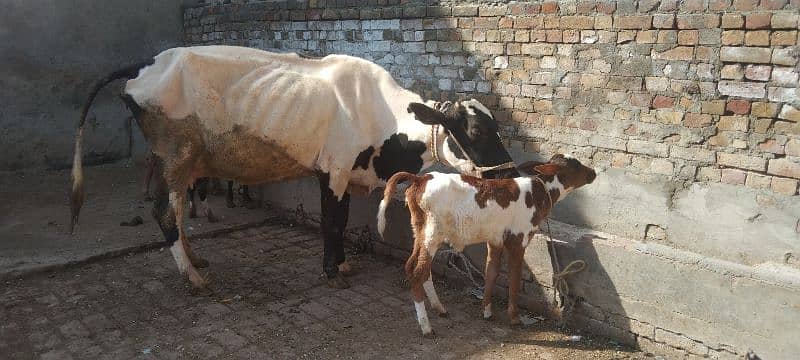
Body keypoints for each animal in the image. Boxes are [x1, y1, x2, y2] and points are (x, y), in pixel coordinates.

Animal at [69, 46, 520, 290]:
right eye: (477, 130)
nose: (505, 174)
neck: (382, 116)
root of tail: (148, 62)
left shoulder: (344, 175)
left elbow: (341, 220)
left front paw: (341, 263)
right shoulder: (333, 171)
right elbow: (332, 222)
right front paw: (332, 270)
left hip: (186, 161)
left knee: (178, 213)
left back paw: (196, 261)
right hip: (175, 156)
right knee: (165, 210)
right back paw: (193, 278)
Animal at [378, 153, 596, 336]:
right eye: (576, 165)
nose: (593, 172)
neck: (540, 192)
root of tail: (420, 178)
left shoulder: (495, 240)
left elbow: (491, 272)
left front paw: (487, 311)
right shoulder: (518, 241)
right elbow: (514, 279)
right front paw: (514, 318)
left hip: (420, 231)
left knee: (416, 268)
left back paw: (439, 308)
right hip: (433, 233)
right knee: (418, 272)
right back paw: (426, 327)